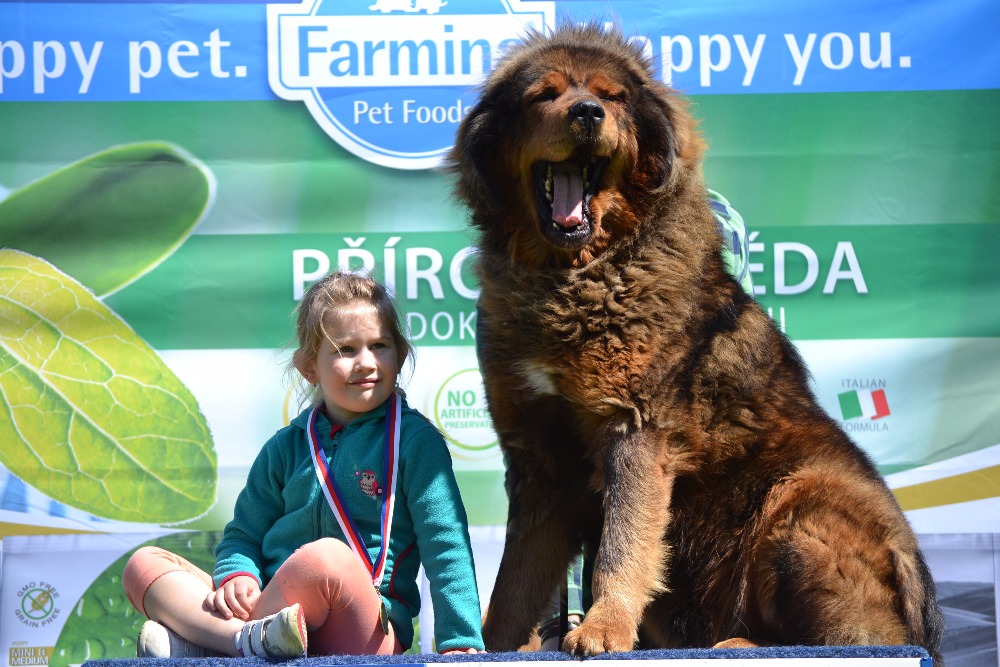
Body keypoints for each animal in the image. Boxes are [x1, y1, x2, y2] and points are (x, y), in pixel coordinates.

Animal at [448, 23, 944, 660]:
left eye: (611, 98)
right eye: (545, 94)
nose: (586, 114)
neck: (574, 275)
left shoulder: (638, 430)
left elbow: (623, 543)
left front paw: (603, 629)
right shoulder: (539, 458)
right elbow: (516, 578)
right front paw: (494, 645)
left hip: (802, 500)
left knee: (860, 639)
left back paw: (740, 644)